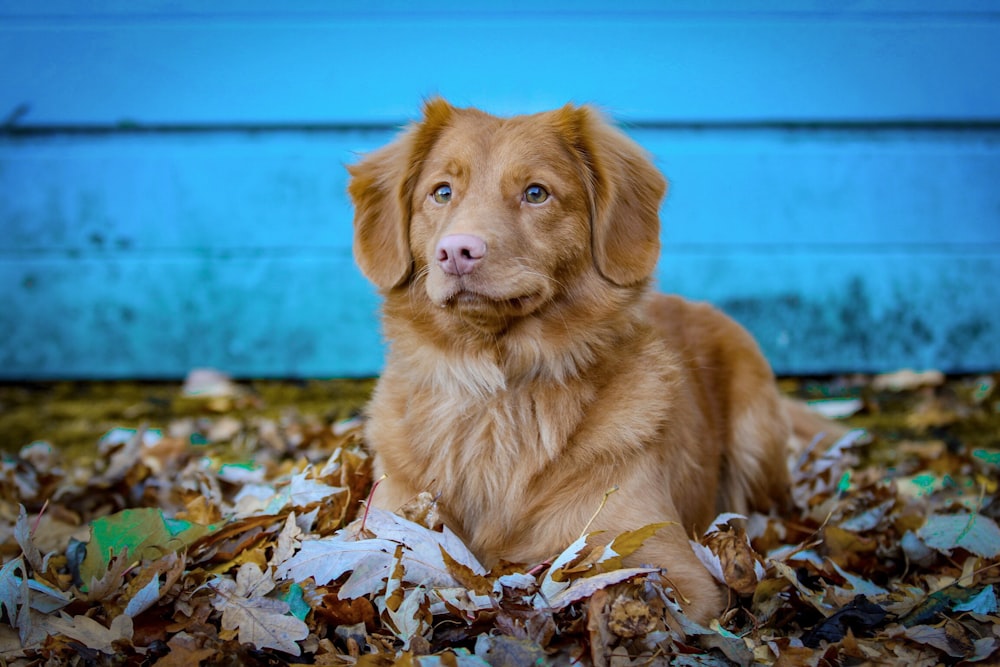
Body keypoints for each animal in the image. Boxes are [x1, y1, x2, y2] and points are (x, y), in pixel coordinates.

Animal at [348, 98, 824, 620]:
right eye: (442, 192)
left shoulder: (671, 568)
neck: (499, 385)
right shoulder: (377, 526)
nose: (456, 251)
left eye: (536, 193)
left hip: (754, 431)